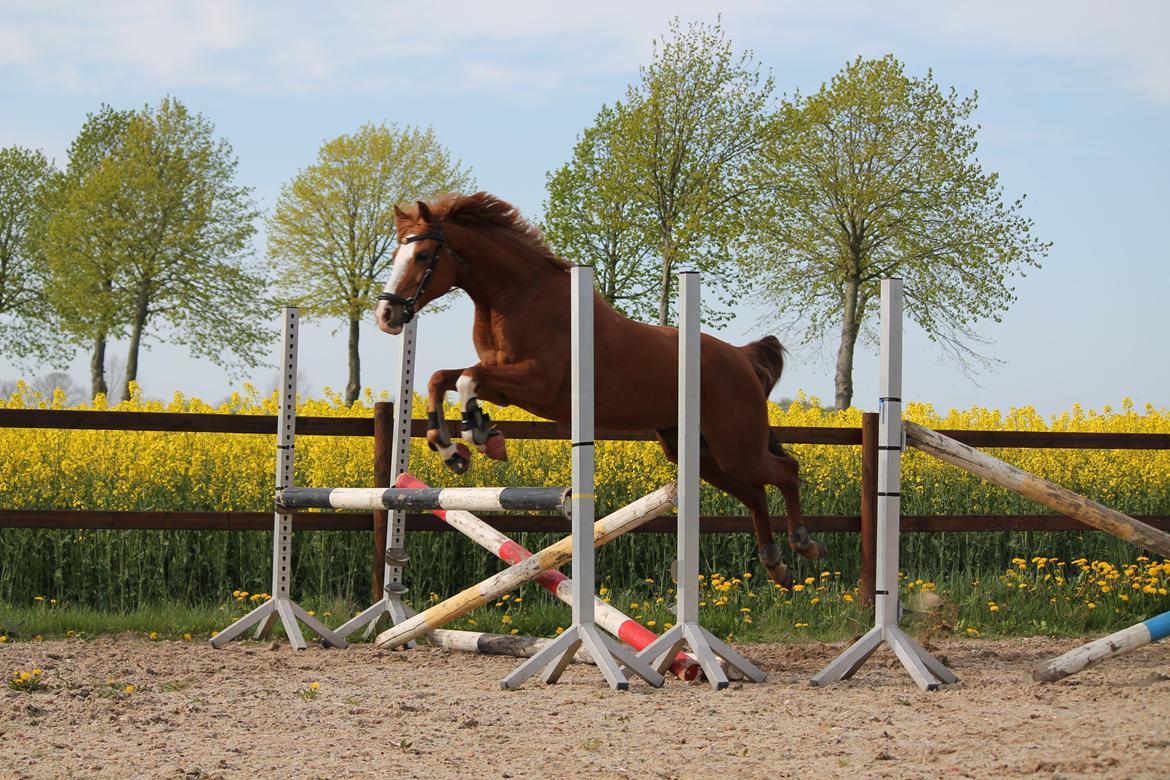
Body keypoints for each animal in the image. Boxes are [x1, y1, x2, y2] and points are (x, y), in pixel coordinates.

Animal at [374, 194, 823, 584]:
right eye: (396, 256)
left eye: (422, 256)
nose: (386, 314)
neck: (515, 296)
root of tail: (741, 358)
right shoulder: (505, 382)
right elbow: (441, 377)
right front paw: (450, 448)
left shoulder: (535, 382)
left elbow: (467, 379)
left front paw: (480, 434)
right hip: (695, 451)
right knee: (755, 493)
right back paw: (776, 564)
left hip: (734, 446)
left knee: (785, 472)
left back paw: (803, 543)